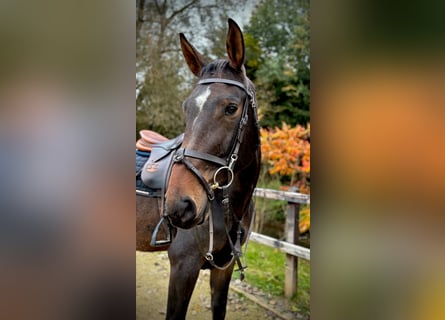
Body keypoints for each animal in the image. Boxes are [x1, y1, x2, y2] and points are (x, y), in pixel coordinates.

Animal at [135, 18, 260, 318]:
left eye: (231, 108)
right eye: (186, 107)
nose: (180, 205)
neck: (229, 207)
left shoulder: (223, 269)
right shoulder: (184, 267)